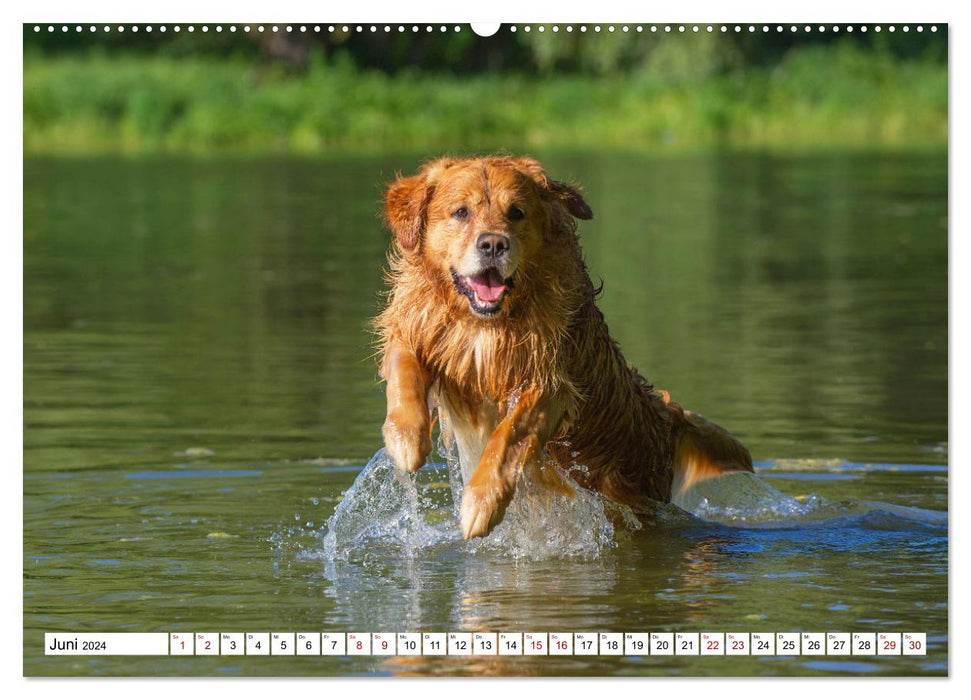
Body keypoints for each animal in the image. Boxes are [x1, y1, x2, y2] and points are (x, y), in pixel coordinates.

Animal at [372, 154, 752, 536]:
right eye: (461, 212)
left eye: (516, 212)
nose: (493, 244)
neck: (484, 325)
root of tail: (665, 418)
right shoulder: (421, 328)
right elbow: (404, 369)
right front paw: (405, 439)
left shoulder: (551, 384)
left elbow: (508, 436)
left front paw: (481, 502)